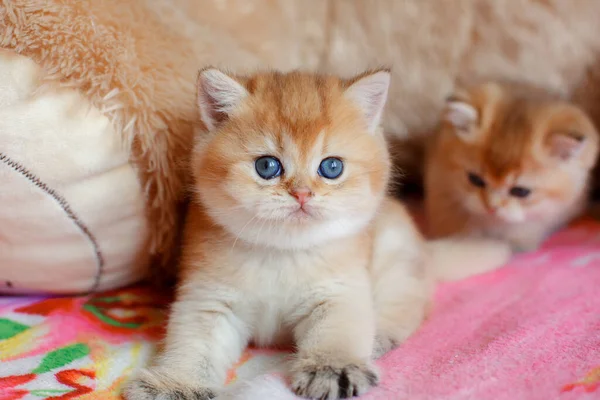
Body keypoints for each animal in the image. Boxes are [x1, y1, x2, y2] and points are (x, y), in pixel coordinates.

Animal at [126, 68, 510, 400]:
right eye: (267, 166)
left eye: (332, 167)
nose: (302, 194)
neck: (281, 252)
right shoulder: (208, 301)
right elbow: (194, 347)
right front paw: (176, 384)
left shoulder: (340, 293)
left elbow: (338, 333)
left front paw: (333, 369)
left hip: (396, 257)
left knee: (406, 307)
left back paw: (378, 339)